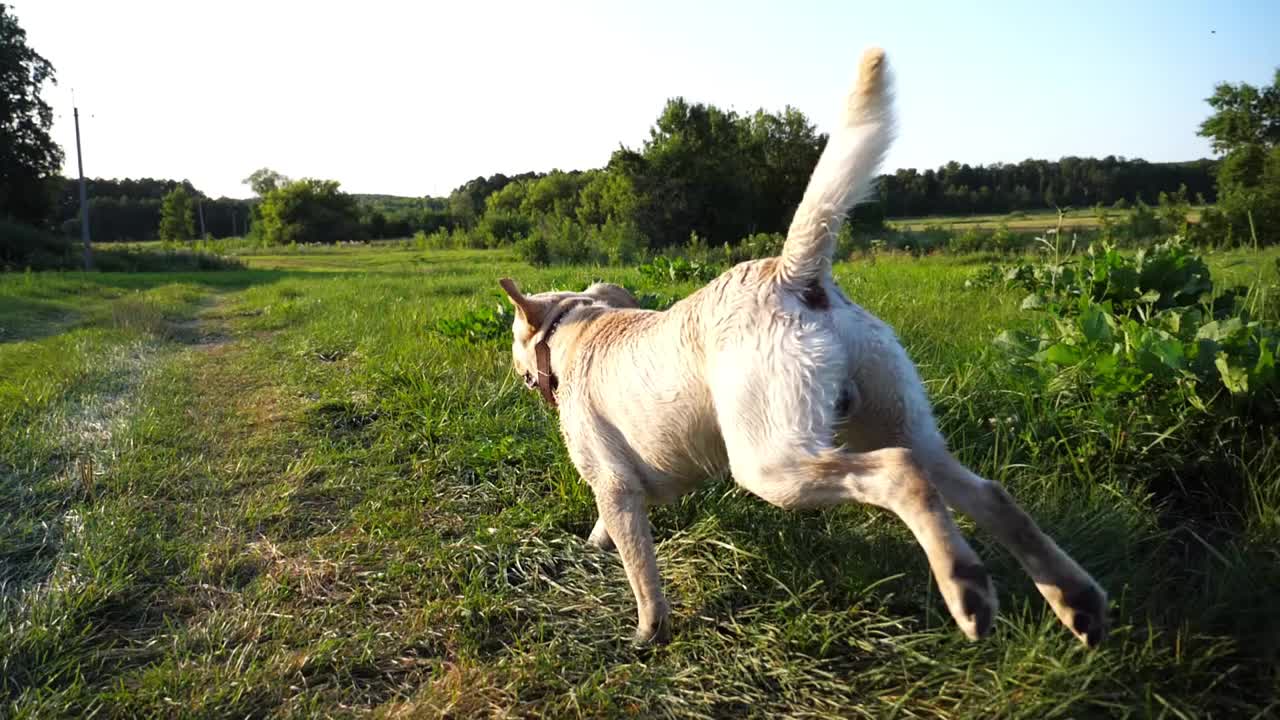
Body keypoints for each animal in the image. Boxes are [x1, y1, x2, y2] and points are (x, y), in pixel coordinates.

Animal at [494, 49, 1105, 645]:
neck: (575, 329)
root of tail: (793, 273)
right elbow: (616, 538)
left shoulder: (613, 485)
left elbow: (641, 570)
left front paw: (648, 633)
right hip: (897, 421)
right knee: (988, 494)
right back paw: (1074, 601)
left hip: (773, 462)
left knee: (902, 474)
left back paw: (967, 589)